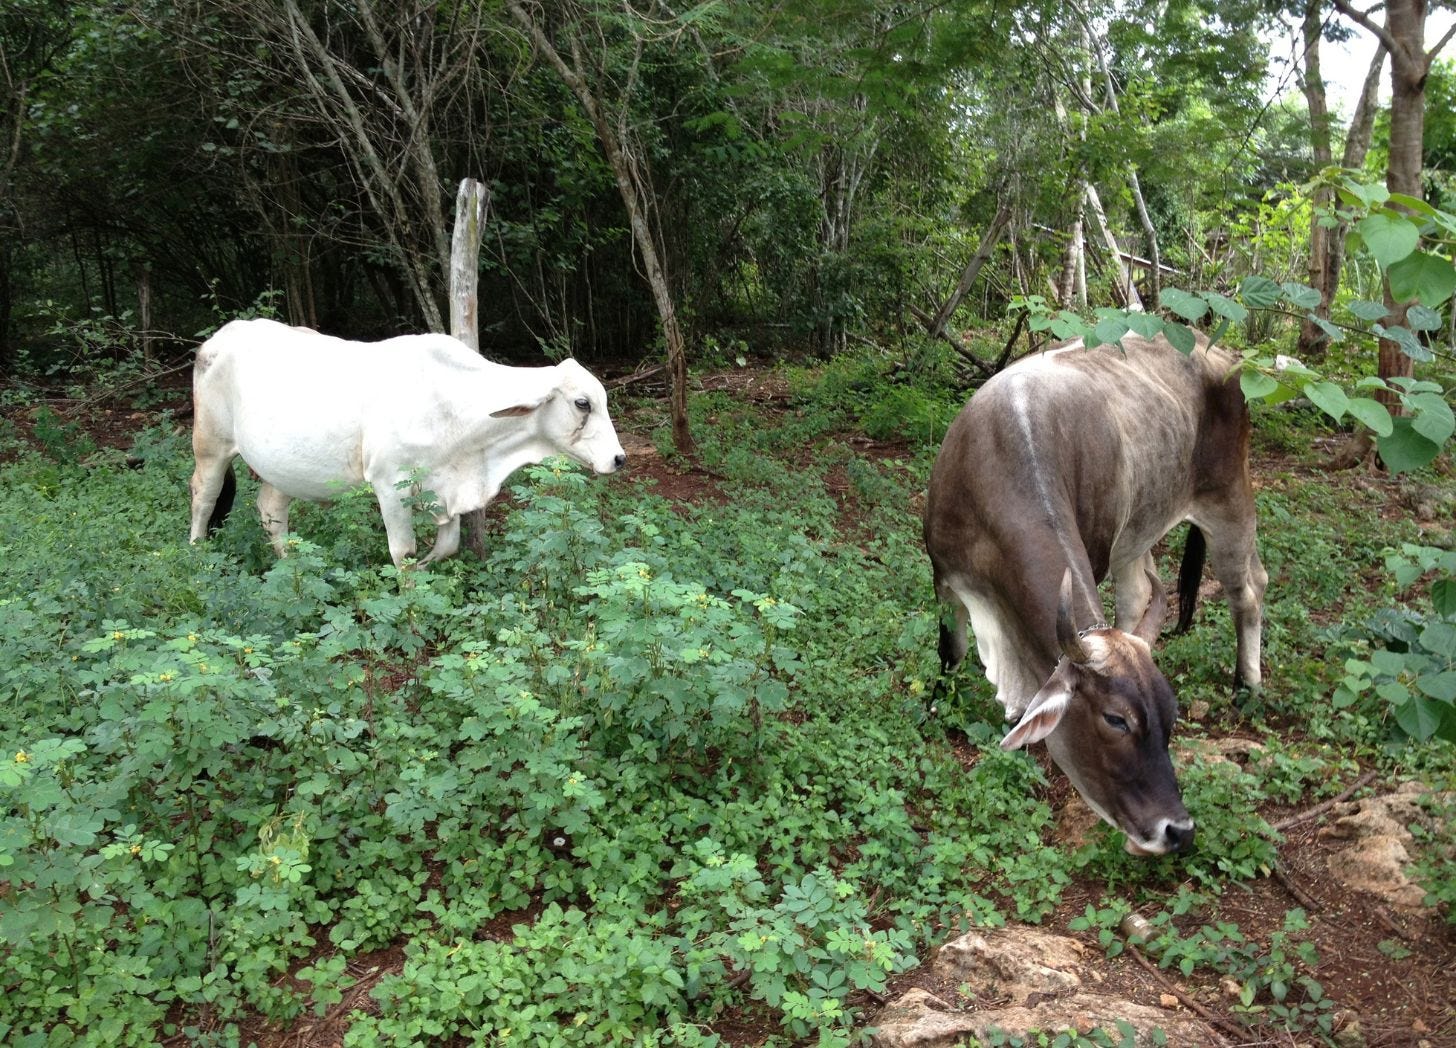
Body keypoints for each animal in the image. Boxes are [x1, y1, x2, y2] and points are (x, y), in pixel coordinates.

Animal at [188, 318, 626, 566]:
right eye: (582, 403)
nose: (619, 458)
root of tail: (217, 339)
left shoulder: (445, 493)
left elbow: (446, 547)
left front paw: (432, 564)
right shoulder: (390, 486)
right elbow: (403, 553)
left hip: (283, 469)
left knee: (271, 511)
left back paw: (294, 563)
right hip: (211, 444)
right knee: (204, 496)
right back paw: (199, 559)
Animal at [923, 332, 1266, 856]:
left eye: (1171, 716)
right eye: (1115, 719)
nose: (1178, 831)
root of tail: (1219, 349)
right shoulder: (944, 576)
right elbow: (951, 651)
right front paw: (935, 708)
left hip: (1230, 500)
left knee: (1246, 593)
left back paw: (1247, 685)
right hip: (1143, 531)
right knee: (1158, 591)